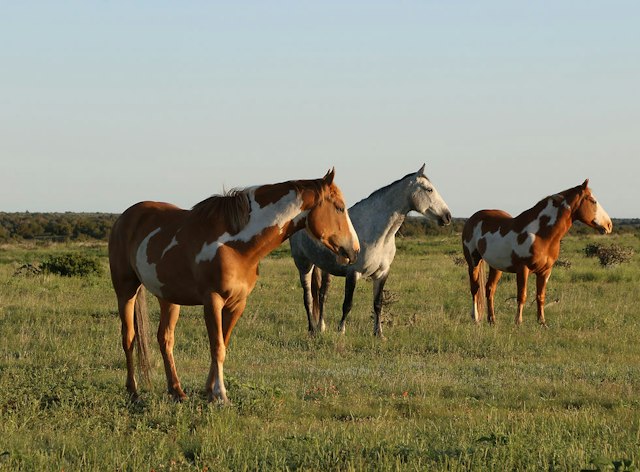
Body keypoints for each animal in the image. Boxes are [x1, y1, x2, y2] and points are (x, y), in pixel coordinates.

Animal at [108, 169, 360, 403]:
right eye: (339, 208)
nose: (354, 250)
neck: (235, 246)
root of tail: (124, 218)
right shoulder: (212, 301)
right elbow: (217, 347)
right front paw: (221, 394)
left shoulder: (237, 303)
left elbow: (223, 344)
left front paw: (209, 391)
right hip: (125, 290)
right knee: (129, 337)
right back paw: (133, 391)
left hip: (168, 297)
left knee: (165, 339)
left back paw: (177, 391)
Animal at [290, 164, 452, 338]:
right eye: (429, 189)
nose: (447, 216)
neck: (379, 235)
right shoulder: (353, 273)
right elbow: (347, 304)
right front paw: (341, 331)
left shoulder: (382, 273)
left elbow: (378, 304)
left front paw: (379, 334)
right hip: (304, 265)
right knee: (308, 298)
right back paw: (312, 330)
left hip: (325, 267)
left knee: (322, 295)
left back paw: (321, 327)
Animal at [462, 179, 612, 326]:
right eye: (593, 201)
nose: (609, 225)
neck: (540, 234)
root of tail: (473, 219)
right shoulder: (523, 269)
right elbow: (522, 296)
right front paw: (518, 322)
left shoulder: (545, 271)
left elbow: (541, 296)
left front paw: (542, 322)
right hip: (473, 262)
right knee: (475, 289)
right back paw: (476, 318)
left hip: (496, 266)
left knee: (489, 289)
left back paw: (492, 320)